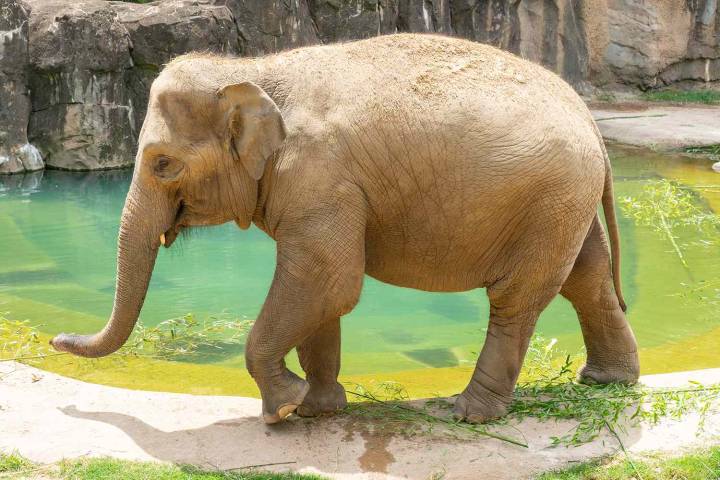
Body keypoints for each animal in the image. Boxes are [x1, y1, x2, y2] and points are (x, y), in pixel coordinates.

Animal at [50, 33, 640, 424]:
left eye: (162, 164)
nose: (54, 339)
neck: (256, 71)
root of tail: (589, 116)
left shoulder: (320, 177)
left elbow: (327, 280)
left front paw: (282, 408)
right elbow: (322, 292)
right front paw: (319, 408)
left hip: (549, 197)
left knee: (517, 300)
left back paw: (467, 413)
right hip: (566, 201)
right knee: (587, 279)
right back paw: (607, 381)